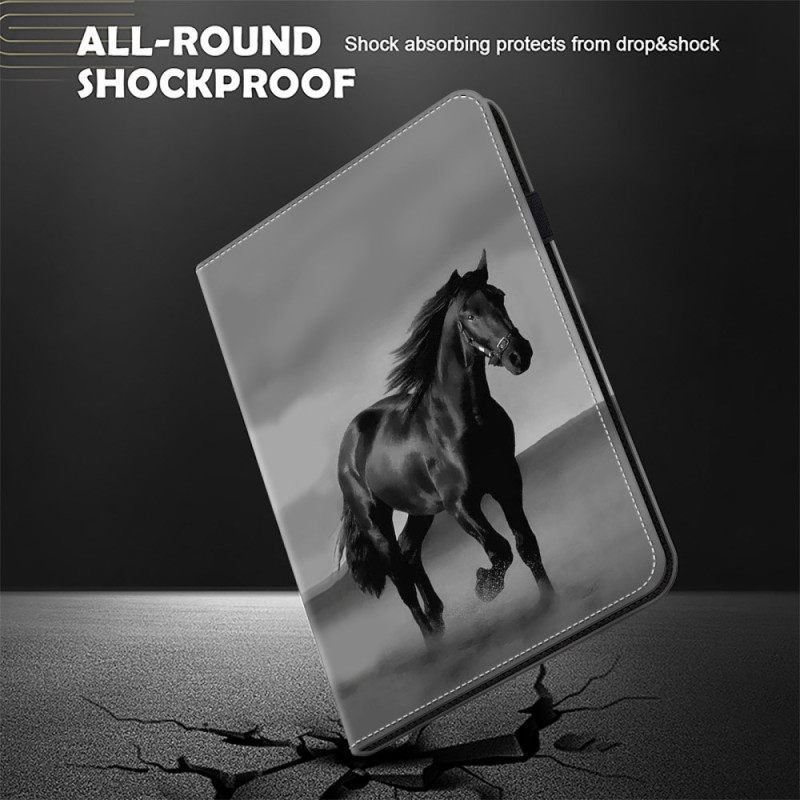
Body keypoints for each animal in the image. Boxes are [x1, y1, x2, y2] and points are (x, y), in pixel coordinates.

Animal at [335, 250, 553, 638]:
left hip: (420, 510)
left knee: (410, 554)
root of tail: (349, 443)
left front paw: (550, 601)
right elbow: (500, 550)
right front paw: (484, 587)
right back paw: (433, 640)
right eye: (469, 314)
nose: (519, 354)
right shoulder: (460, 504)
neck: (463, 420)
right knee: (401, 579)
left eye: (500, 296)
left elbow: (526, 544)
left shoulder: (507, 482)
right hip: (375, 520)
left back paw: (438, 619)